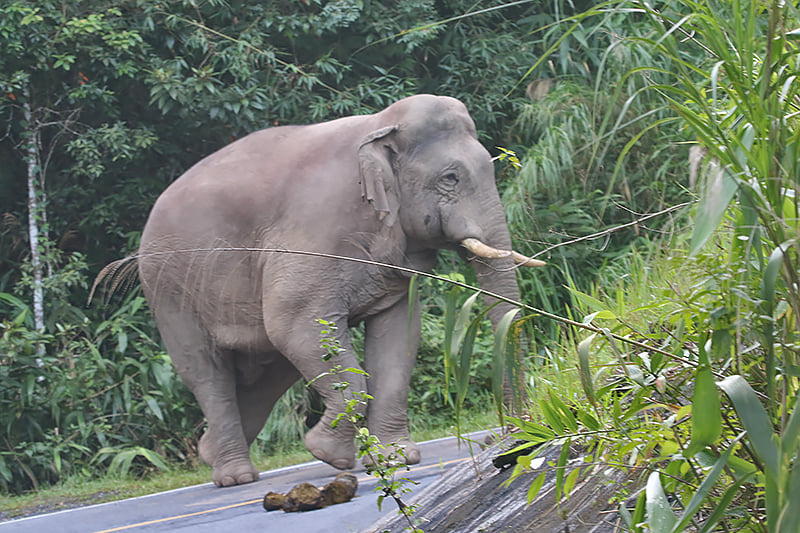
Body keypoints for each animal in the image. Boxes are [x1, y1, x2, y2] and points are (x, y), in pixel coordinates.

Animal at [138, 95, 544, 486]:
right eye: (450, 178)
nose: (502, 436)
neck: (379, 126)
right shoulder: (312, 231)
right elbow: (295, 325)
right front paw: (329, 453)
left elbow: (397, 336)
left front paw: (395, 458)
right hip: (169, 289)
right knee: (207, 371)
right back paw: (234, 477)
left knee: (270, 372)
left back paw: (209, 452)